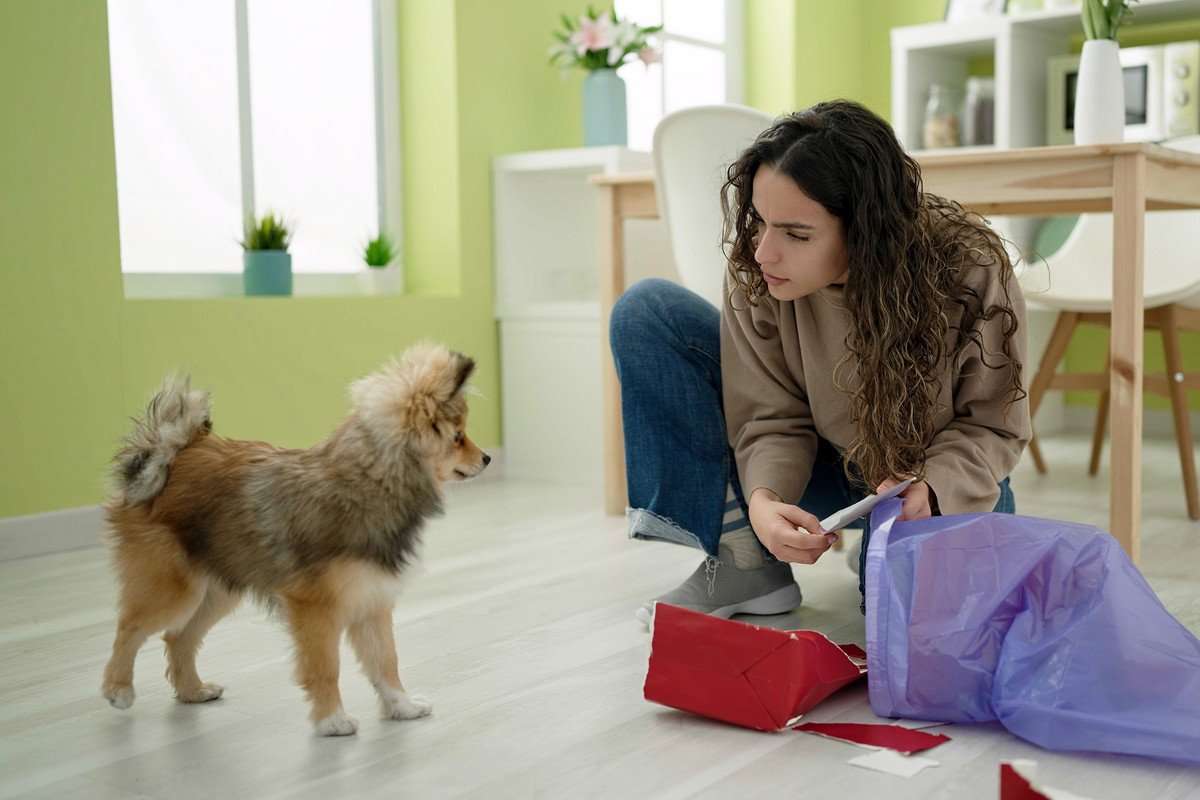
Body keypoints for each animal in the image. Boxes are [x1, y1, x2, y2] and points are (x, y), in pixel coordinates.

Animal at [102, 340, 487, 734]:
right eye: (458, 437)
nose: (487, 457)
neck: (368, 482)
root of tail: (166, 454)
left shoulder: (372, 601)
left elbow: (386, 661)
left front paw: (402, 707)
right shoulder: (316, 610)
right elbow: (326, 667)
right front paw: (332, 720)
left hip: (218, 588)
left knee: (179, 637)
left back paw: (193, 691)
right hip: (175, 589)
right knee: (129, 627)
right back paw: (119, 688)